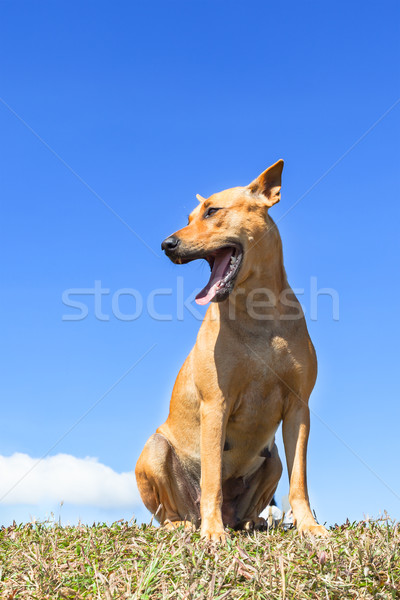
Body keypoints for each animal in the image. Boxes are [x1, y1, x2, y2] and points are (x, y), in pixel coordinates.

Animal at [136, 161, 326, 544]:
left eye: (212, 211)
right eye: (190, 216)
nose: (166, 244)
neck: (258, 309)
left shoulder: (299, 407)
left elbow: (299, 480)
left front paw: (309, 525)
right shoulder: (215, 404)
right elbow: (212, 478)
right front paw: (212, 533)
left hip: (272, 459)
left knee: (258, 496)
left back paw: (251, 522)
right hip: (155, 448)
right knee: (168, 511)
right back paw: (188, 524)